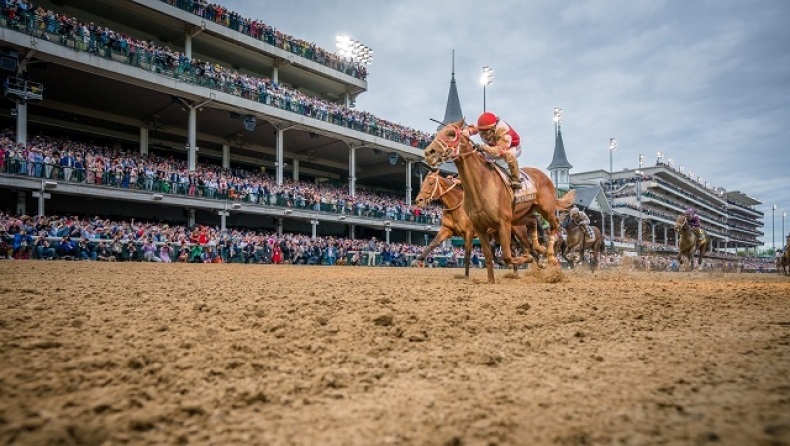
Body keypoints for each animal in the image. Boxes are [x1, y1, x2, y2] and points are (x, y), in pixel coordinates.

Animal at [412, 171, 548, 276]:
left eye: (430, 183)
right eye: (422, 183)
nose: (418, 200)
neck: (456, 206)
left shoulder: (469, 232)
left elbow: (467, 254)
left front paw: (466, 275)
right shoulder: (447, 230)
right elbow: (432, 244)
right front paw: (417, 260)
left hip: (519, 231)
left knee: (528, 247)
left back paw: (538, 263)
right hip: (501, 233)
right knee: (513, 247)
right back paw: (513, 271)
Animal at [426, 119, 576, 282]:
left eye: (451, 133)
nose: (428, 152)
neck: (481, 185)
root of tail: (546, 178)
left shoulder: (502, 224)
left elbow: (507, 256)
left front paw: (527, 258)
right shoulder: (479, 228)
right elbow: (489, 256)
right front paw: (491, 281)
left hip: (545, 209)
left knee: (555, 225)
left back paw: (549, 255)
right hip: (518, 217)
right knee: (533, 222)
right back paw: (539, 248)